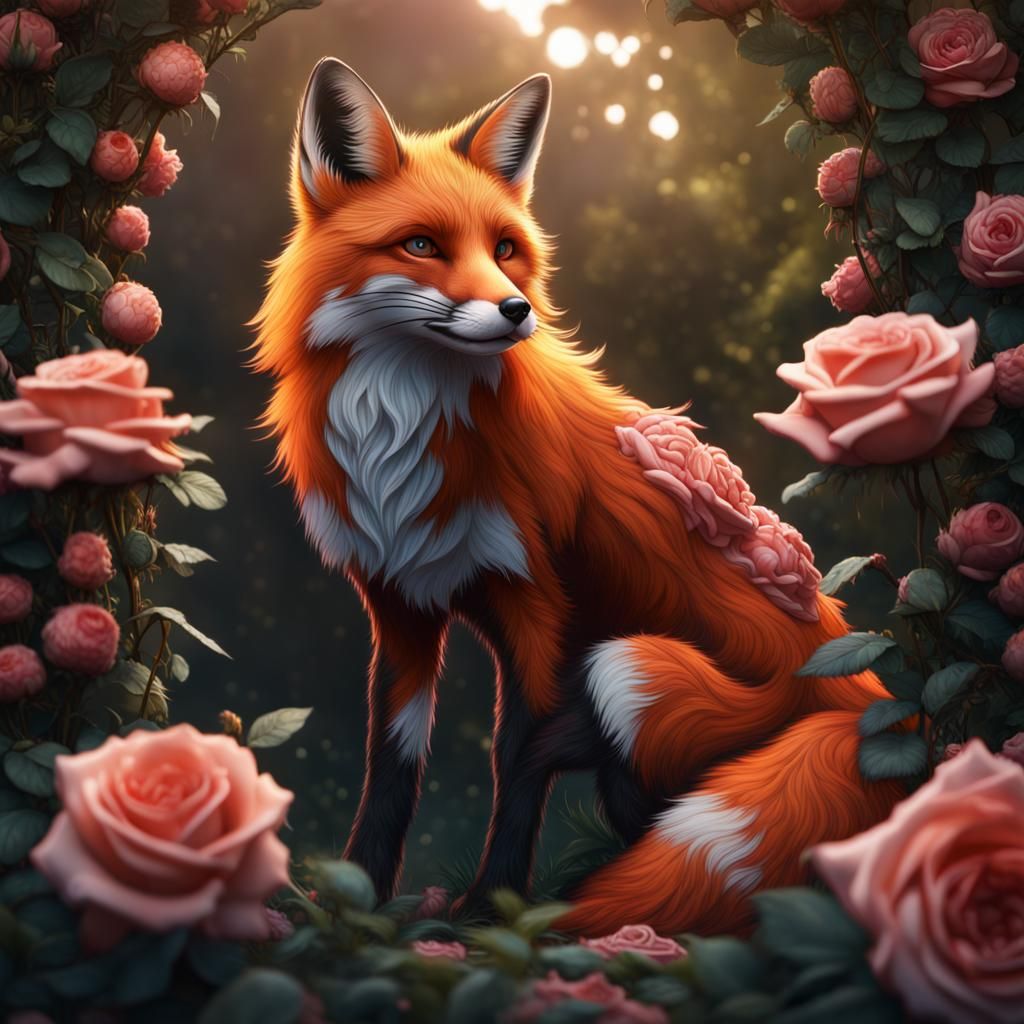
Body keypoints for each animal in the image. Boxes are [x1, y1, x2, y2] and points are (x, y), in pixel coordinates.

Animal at [251, 58, 903, 935]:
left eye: (505, 250)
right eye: (421, 245)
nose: (515, 310)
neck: (400, 442)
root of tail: (881, 710)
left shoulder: (538, 604)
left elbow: (515, 759)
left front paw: (487, 907)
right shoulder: (400, 604)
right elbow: (390, 766)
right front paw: (356, 903)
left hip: (633, 666)